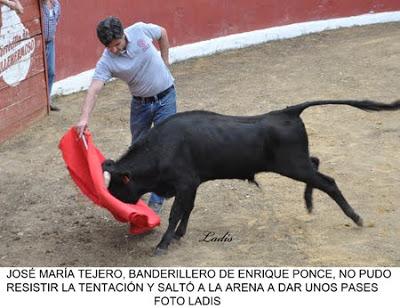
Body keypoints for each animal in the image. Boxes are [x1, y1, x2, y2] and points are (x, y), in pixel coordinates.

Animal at [101, 99, 398, 255]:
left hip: (294, 166)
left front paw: (163, 243)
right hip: (298, 163)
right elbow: (187, 209)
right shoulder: (192, 184)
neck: (161, 148)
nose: (112, 200)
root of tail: (288, 111)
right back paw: (309, 203)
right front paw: (178, 235)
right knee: (316, 165)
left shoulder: (185, 183)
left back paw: (355, 217)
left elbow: (177, 212)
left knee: (328, 182)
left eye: (117, 186)